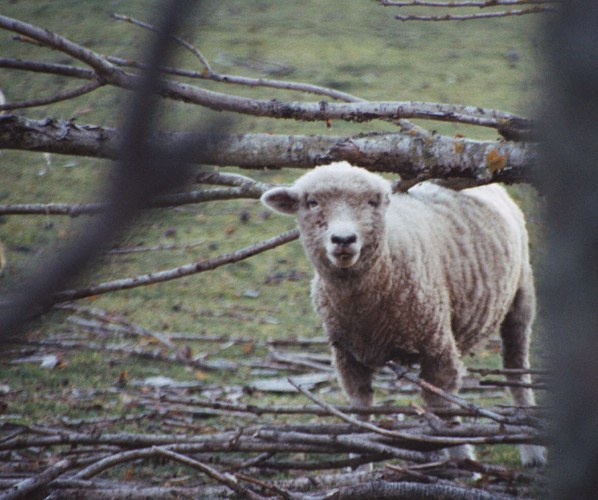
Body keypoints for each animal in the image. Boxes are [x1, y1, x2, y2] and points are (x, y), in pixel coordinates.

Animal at [262, 162, 548, 466]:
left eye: (373, 201)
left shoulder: (437, 345)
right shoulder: (347, 356)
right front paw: (360, 459)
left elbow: (443, 407)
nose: (344, 239)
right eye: (312, 202)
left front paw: (460, 461)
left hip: (521, 296)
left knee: (516, 373)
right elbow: (361, 411)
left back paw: (532, 451)